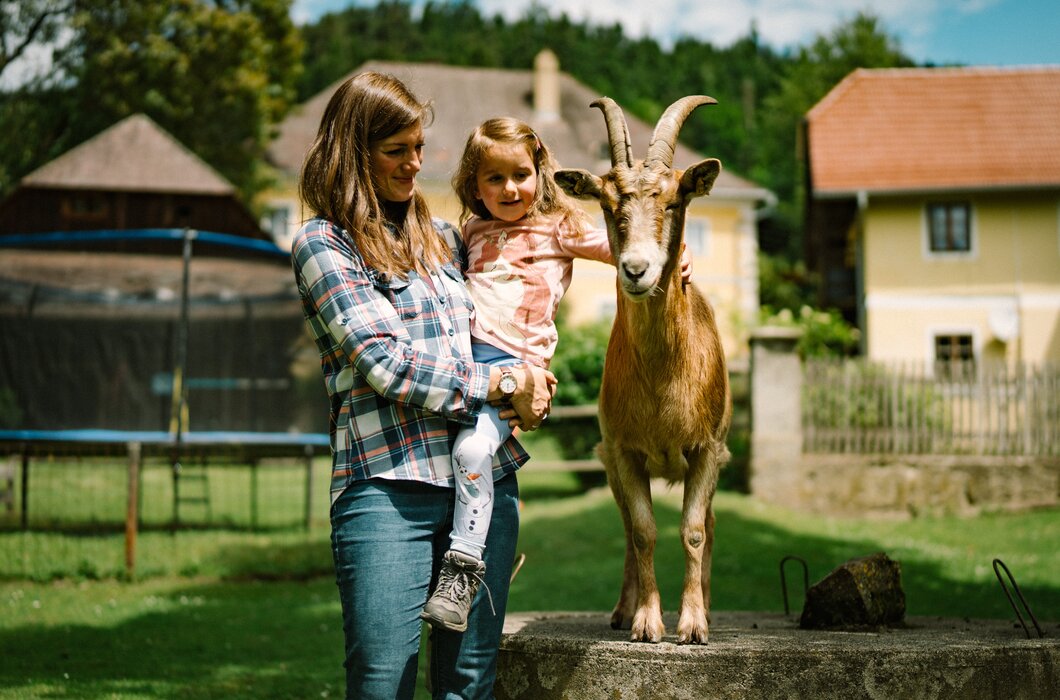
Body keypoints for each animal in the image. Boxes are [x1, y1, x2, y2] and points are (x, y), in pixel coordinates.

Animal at [555, 96, 731, 644]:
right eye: (609, 206)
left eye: (673, 202)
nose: (636, 270)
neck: (662, 382)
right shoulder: (625, 452)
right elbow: (642, 531)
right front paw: (647, 623)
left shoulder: (705, 449)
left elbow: (693, 531)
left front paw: (693, 625)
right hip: (608, 459)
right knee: (628, 530)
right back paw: (621, 610)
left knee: (710, 525)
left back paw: (707, 607)